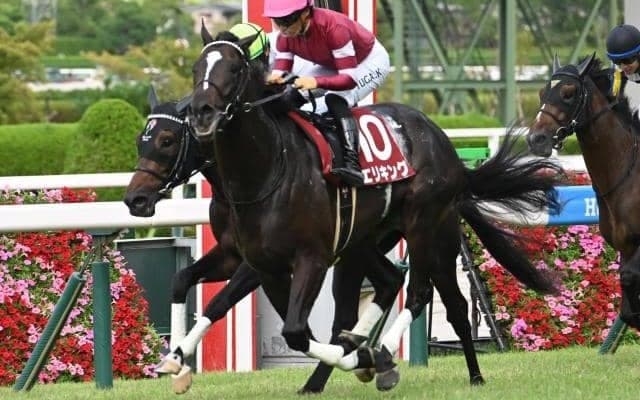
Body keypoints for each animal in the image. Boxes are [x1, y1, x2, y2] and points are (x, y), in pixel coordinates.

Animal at [123, 91, 406, 394]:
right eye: (140, 139)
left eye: (167, 140)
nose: (135, 199)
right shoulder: (231, 254)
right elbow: (182, 279)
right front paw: (177, 364)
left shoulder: (258, 262)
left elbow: (221, 302)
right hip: (361, 247)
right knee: (388, 281)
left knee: (345, 314)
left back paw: (338, 370)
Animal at [186, 25, 563, 391]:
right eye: (196, 68)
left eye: (235, 69)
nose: (201, 112)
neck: (266, 173)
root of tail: (445, 146)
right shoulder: (264, 264)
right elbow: (295, 331)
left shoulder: (312, 256)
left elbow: (296, 331)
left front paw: (361, 358)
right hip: (367, 241)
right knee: (405, 287)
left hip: (426, 227)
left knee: (422, 295)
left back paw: (394, 357)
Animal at [527, 53, 640, 330]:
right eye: (542, 92)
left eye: (568, 93)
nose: (536, 140)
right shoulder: (625, 247)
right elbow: (628, 308)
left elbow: (630, 279)